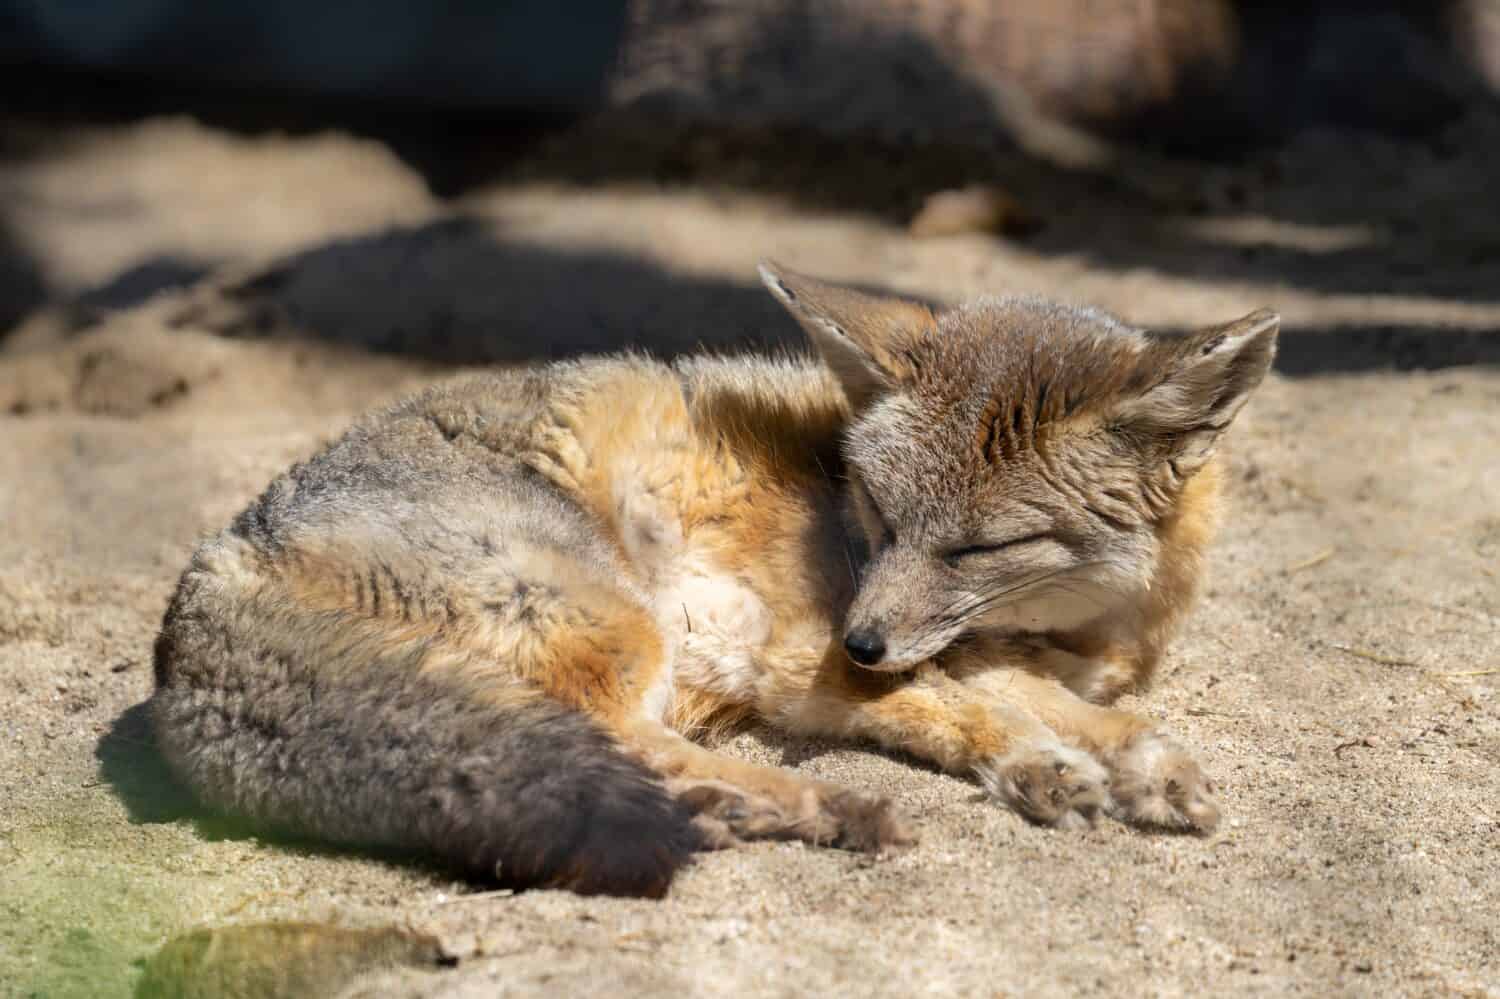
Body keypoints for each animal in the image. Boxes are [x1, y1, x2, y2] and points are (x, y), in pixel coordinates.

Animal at [152, 262, 1279, 898]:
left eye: (975, 549)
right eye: (880, 512)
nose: (861, 638)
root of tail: (210, 566)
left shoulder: (959, 646)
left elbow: (1073, 706)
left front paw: (1146, 763)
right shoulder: (798, 659)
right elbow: (966, 709)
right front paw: (1042, 765)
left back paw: (743, 811)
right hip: (616, 623)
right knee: (616, 737)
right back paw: (813, 805)